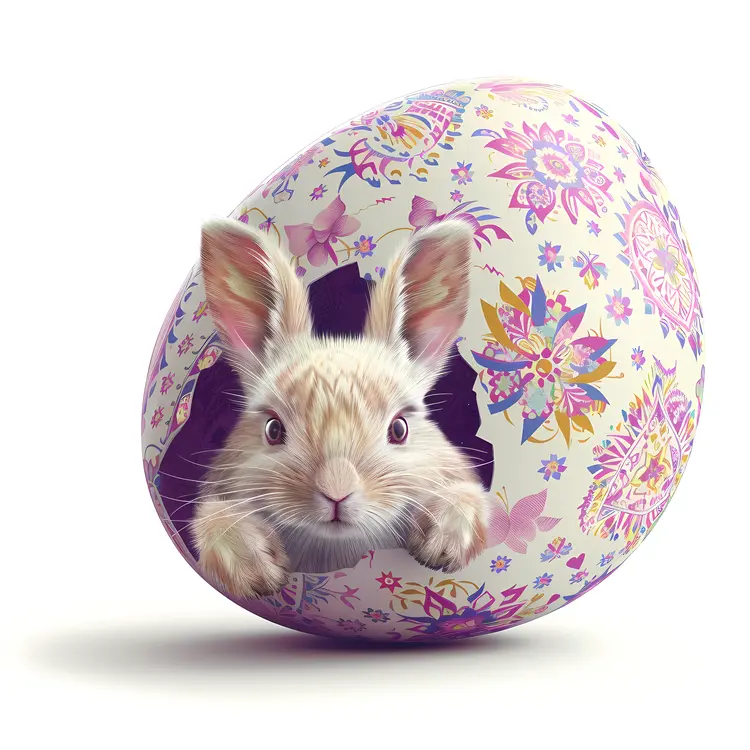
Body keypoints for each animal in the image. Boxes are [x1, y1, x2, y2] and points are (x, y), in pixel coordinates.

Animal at [190, 216, 491, 599]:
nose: (336, 491)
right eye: (273, 430)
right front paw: (256, 570)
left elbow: (467, 496)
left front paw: (442, 545)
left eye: (399, 429)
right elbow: (213, 517)